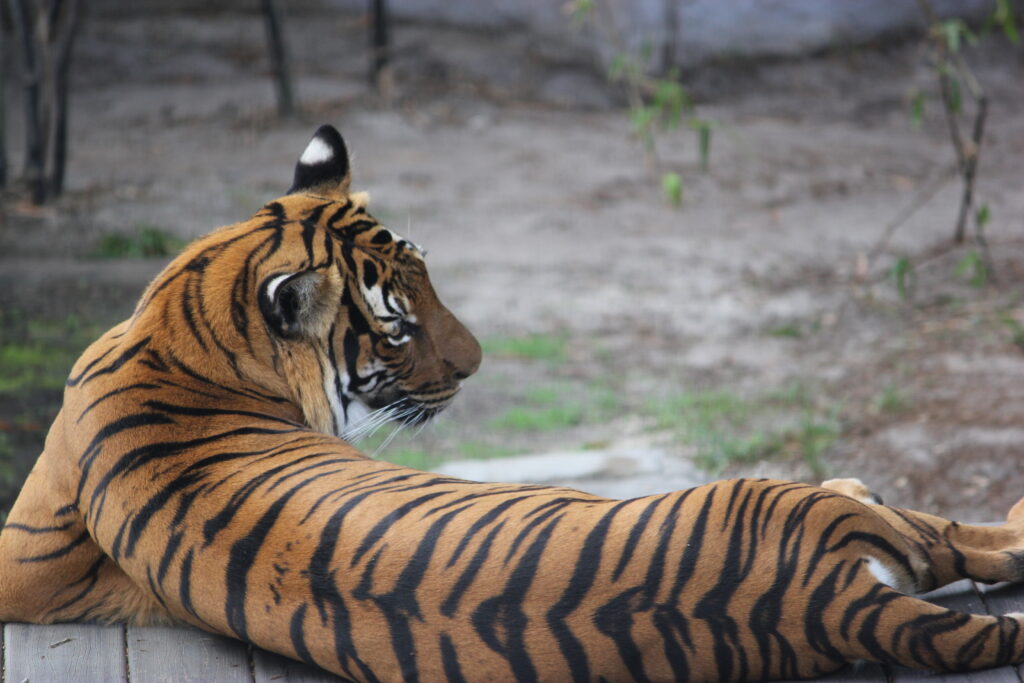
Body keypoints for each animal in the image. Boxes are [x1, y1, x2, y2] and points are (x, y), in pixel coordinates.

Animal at [2, 125, 1024, 679]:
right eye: (396, 328)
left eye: (431, 277)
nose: (477, 362)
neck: (183, 322)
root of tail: (817, 600)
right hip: (809, 495)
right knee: (955, 533)